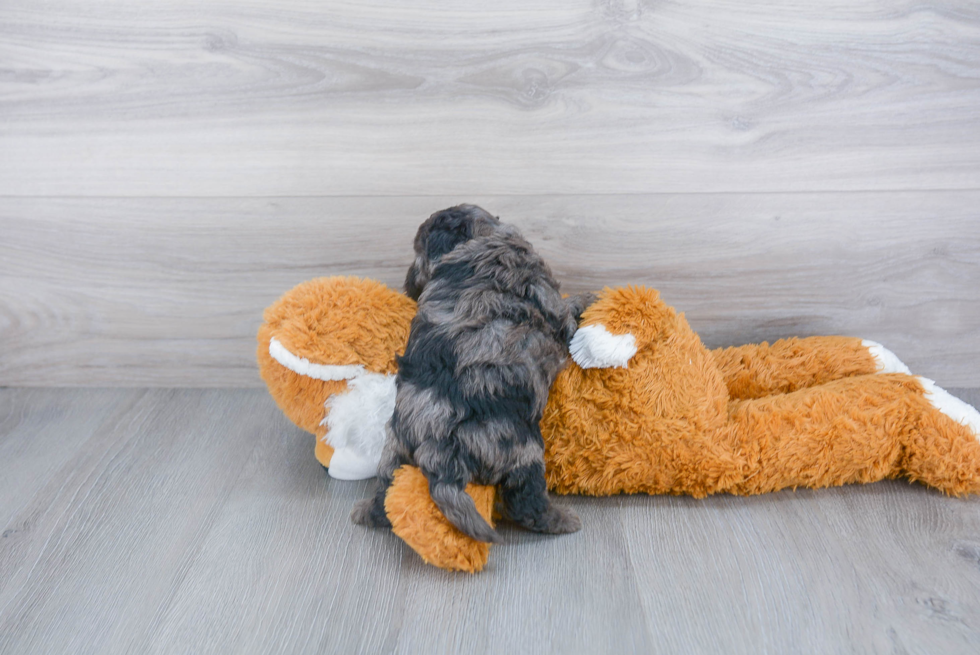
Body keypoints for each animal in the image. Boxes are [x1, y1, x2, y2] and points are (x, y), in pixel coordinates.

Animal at [356, 205, 592, 544]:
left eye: (417, 255)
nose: (408, 284)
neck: (478, 240)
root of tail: (435, 450)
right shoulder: (551, 304)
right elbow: (567, 311)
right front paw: (586, 299)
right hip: (519, 449)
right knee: (524, 501)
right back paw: (562, 520)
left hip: (396, 449)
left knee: (385, 492)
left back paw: (368, 512)